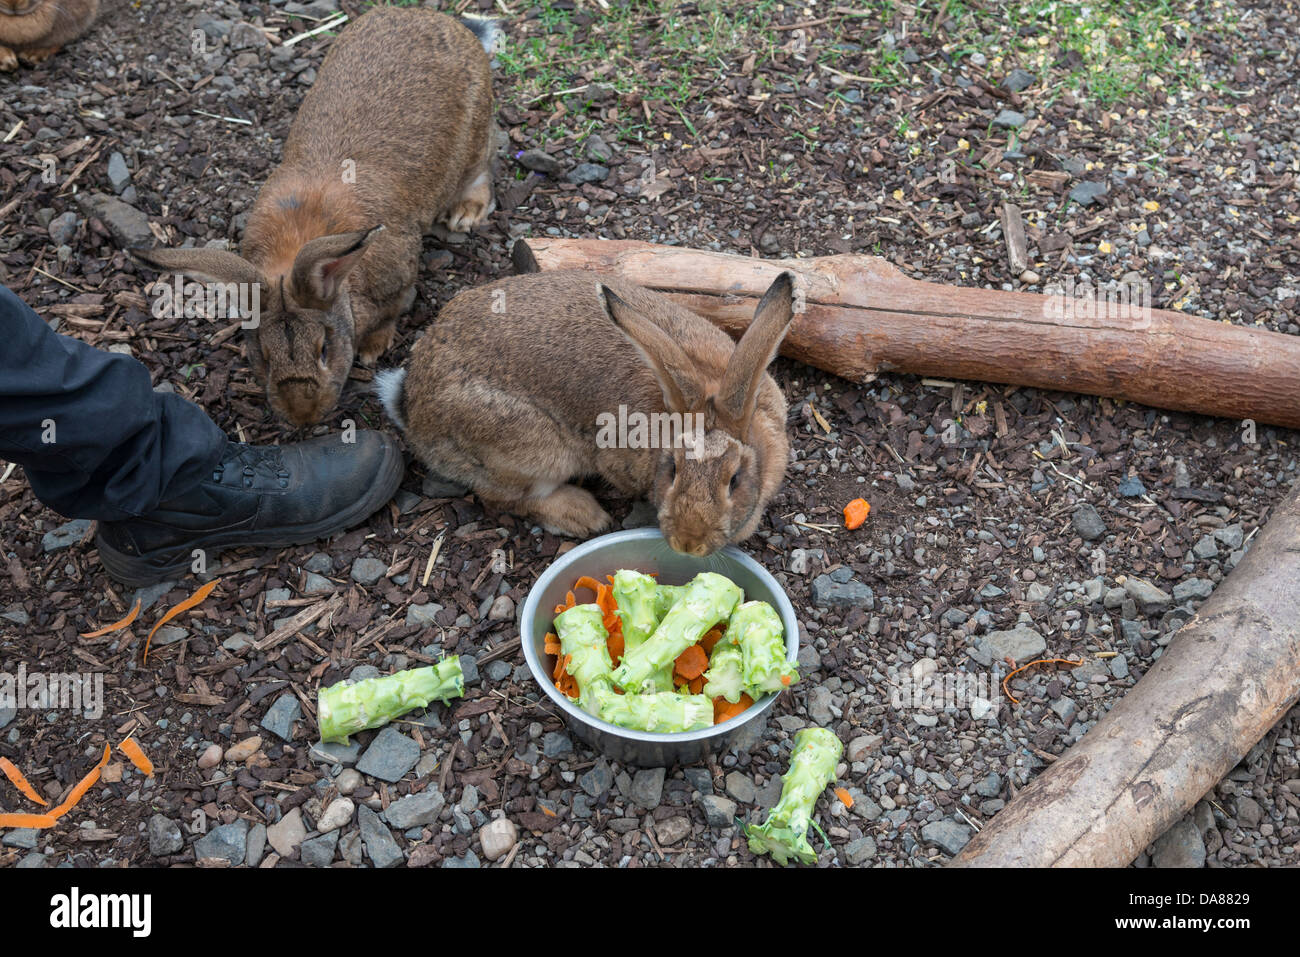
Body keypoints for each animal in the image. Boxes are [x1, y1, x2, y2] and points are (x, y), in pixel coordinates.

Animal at [133, 7, 496, 426]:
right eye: (265, 358)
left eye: (325, 349)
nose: (304, 415)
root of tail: (441, 20)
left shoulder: (398, 278)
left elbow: (393, 311)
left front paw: (372, 348)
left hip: (474, 144)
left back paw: (464, 214)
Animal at [371, 269, 795, 553]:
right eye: (672, 470)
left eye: (734, 480)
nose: (688, 543)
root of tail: (413, 412)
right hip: (531, 450)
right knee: (500, 498)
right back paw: (583, 514)